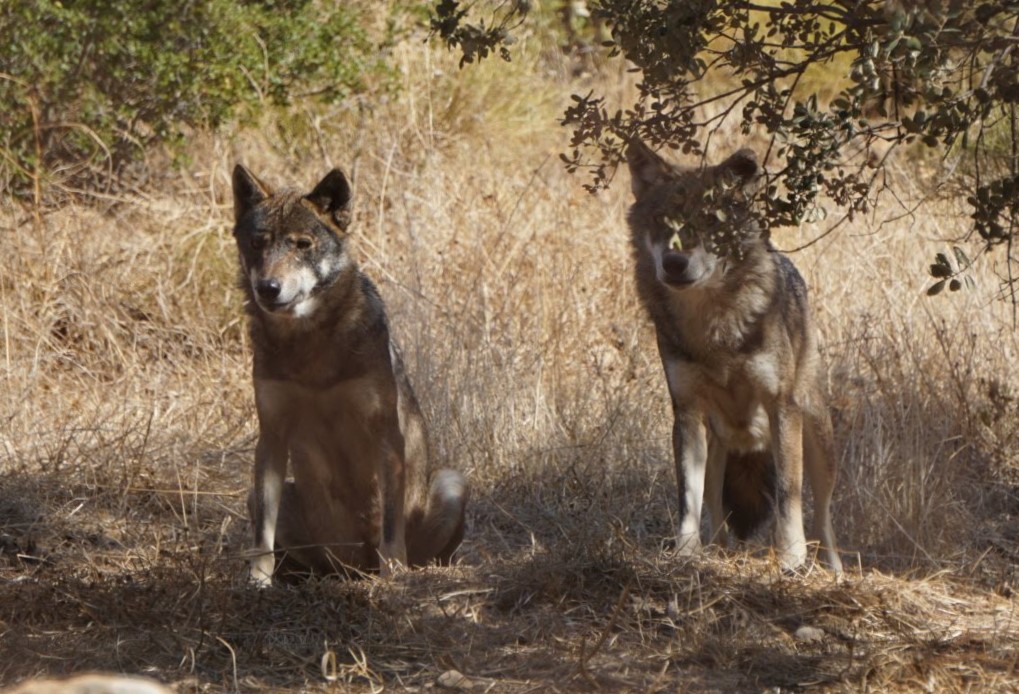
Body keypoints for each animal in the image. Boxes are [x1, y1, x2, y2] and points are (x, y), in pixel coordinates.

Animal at [231, 164, 468, 586]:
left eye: (302, 245)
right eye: (258, 243)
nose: (268, 288)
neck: (310, 346)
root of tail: (356, 569)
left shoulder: (386, 433)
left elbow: (390, 527)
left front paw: (394, 576)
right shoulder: (271, 435)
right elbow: (261, 538)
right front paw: (257, 581)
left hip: (453, 483)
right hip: (264, 496)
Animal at [625, 139, 842, 573]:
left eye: (710, 221)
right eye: (661, 220)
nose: (674, 263)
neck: (715, 329)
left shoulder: (780, 407)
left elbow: (788, 495)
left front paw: (791, 558)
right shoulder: (686, 413)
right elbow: (687, 502)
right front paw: (685, 554)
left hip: (816, 438)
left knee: (824, 520)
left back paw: (834, 571)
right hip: (716, 447)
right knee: (715, 514)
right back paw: (718, 552)